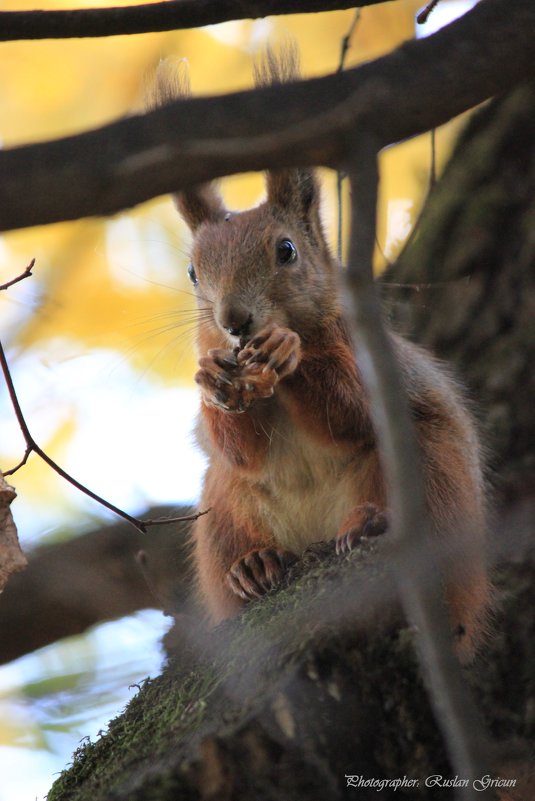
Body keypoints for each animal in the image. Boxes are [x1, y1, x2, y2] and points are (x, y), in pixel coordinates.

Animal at [151, 51, 490, 664]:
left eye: (286, 251)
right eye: (192, 272)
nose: (233, 321)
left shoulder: (363, 352)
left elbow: (352, 412)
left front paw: (291, 351)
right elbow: (240, 450)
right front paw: (213, 380)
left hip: (432, 463)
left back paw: (372, 521)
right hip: (223, 509)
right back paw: (254, 566)